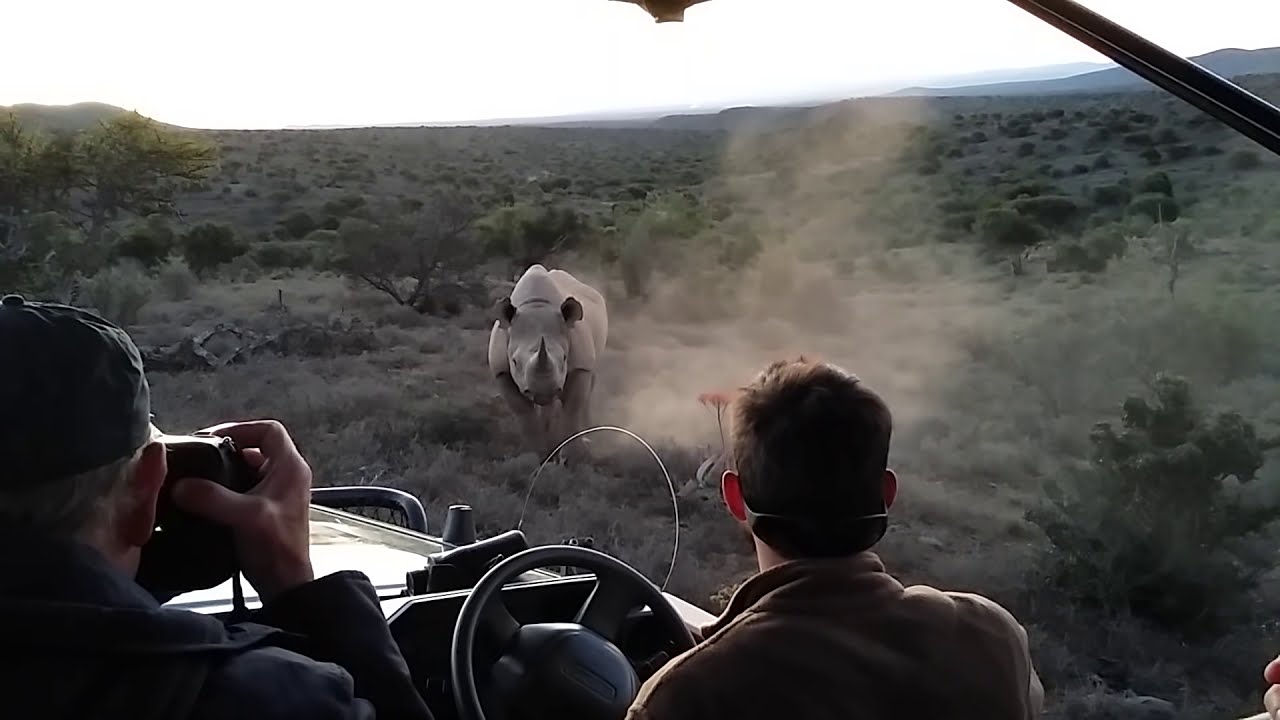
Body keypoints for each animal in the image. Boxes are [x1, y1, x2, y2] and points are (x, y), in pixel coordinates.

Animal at [487, 264, 608, 459]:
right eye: (514, 361)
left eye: (565, 358)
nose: (543, 391)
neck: (537, 306)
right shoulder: (501, 370)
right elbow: (523, 412)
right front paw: (536, 454)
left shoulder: (581, 366)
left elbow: (572, 408)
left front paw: (573, 457)